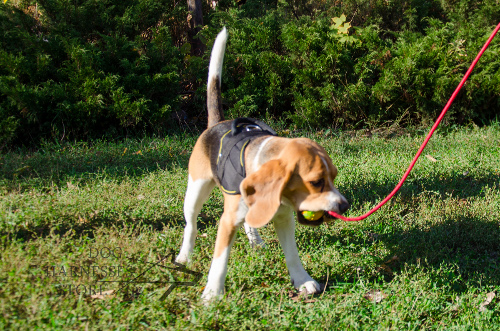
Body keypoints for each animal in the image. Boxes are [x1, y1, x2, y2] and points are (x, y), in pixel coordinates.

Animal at [178, 27, 350, 304]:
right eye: (316, 182)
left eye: (334, 177)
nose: (345, 206)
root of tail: (217, 124)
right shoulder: (227, 222)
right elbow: (220, 261)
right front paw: (212, 293)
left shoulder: (284, 217)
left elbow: (292, 253)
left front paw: (302, 280)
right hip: (195, 191)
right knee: (191, 226)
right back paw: (184, 256)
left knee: (249, 222)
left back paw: (256, 242)